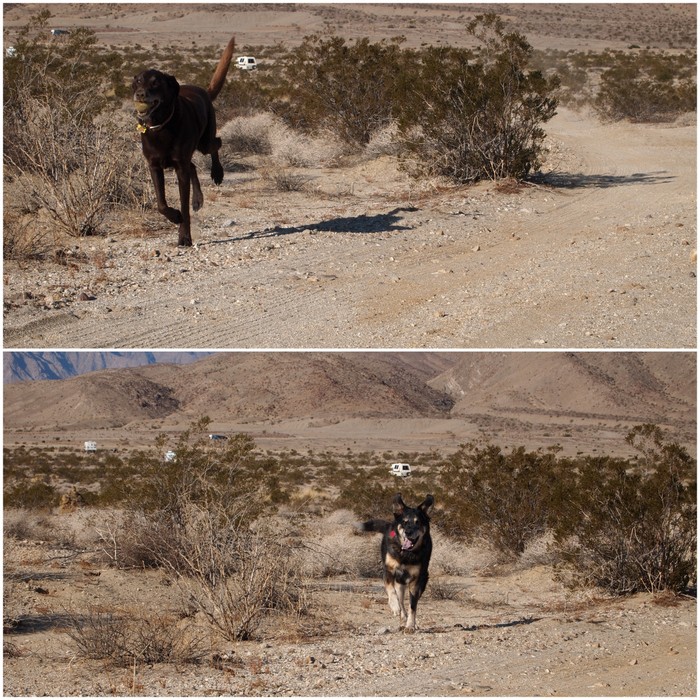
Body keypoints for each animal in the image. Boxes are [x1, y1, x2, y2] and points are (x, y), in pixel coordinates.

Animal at [133, 37, 237, 249]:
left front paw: (185, 237)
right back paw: (198, 200)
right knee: (194, 166)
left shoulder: (180, 167)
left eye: (156, 83)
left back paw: (217, 173)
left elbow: (183, 203)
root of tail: (203, 90)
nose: (140, 94)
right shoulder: (154, 166)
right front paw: (175, 216)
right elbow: (161, 204)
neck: (161, 126)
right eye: (138, 81)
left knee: (216, 144)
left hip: (204, 142)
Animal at [364, 492, 434, 636]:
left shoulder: (417, 580)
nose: (408, 532)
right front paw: (394, 606)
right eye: (405, 522)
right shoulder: (388, 571)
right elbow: (391, 591)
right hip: (400, 582)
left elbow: (413, 606)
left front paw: (411, 626)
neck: (406, 554)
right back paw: (400, 616)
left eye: (418, 522)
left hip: (419, 582)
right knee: (400, 600)